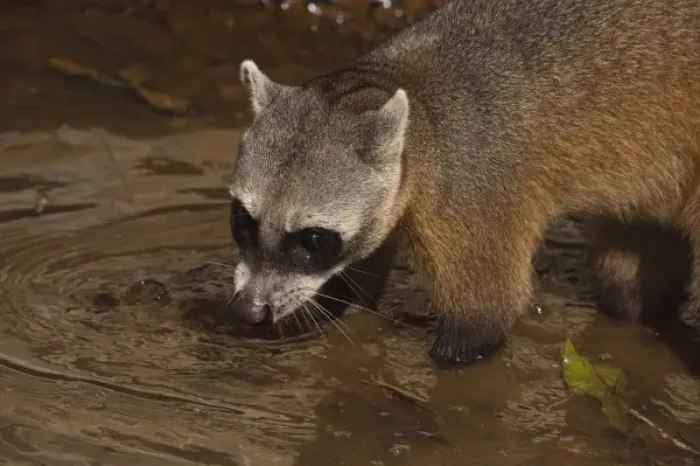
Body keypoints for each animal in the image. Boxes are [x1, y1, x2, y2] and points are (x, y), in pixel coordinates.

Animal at [227, 0, 700, 366]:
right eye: (243, 220)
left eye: (312, 239)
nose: (248, 312)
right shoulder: (385, 206)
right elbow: (357, 278)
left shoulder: (473, 189)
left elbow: (483, 318)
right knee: (624, 281)